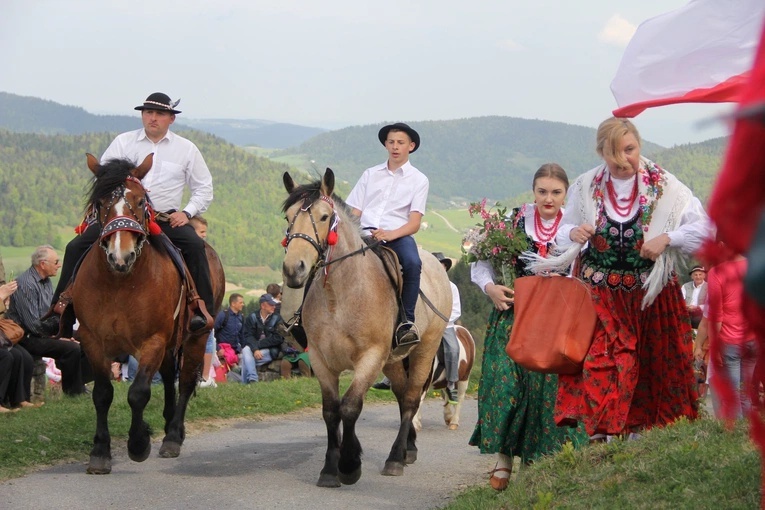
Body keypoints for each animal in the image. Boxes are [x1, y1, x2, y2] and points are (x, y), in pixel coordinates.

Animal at [71, 154, 224, 474]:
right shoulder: (92, 341)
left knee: (186, 380)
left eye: (141, 201)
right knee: (168, 376)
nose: (121, 255)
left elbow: (138, 392)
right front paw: (100, 452)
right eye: (100, 203)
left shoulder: (152, 341)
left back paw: (173, 436)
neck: (120, 282)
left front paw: (139, 443)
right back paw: (168, 424)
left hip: (196, 336)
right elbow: (102, 394)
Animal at [280, 168, 450, 486]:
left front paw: (349, 465)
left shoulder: (370, 356)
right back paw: (407, 449)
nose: (293, 269)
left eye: (324, 217)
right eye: (288, 217)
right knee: (401, 395)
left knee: (411, 399)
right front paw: (329, 469)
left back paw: (395, 458)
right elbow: (331, 411)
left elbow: (350, 406)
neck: (340, 295)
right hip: (393, 361)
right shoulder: (321, 359)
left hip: (424, 350)